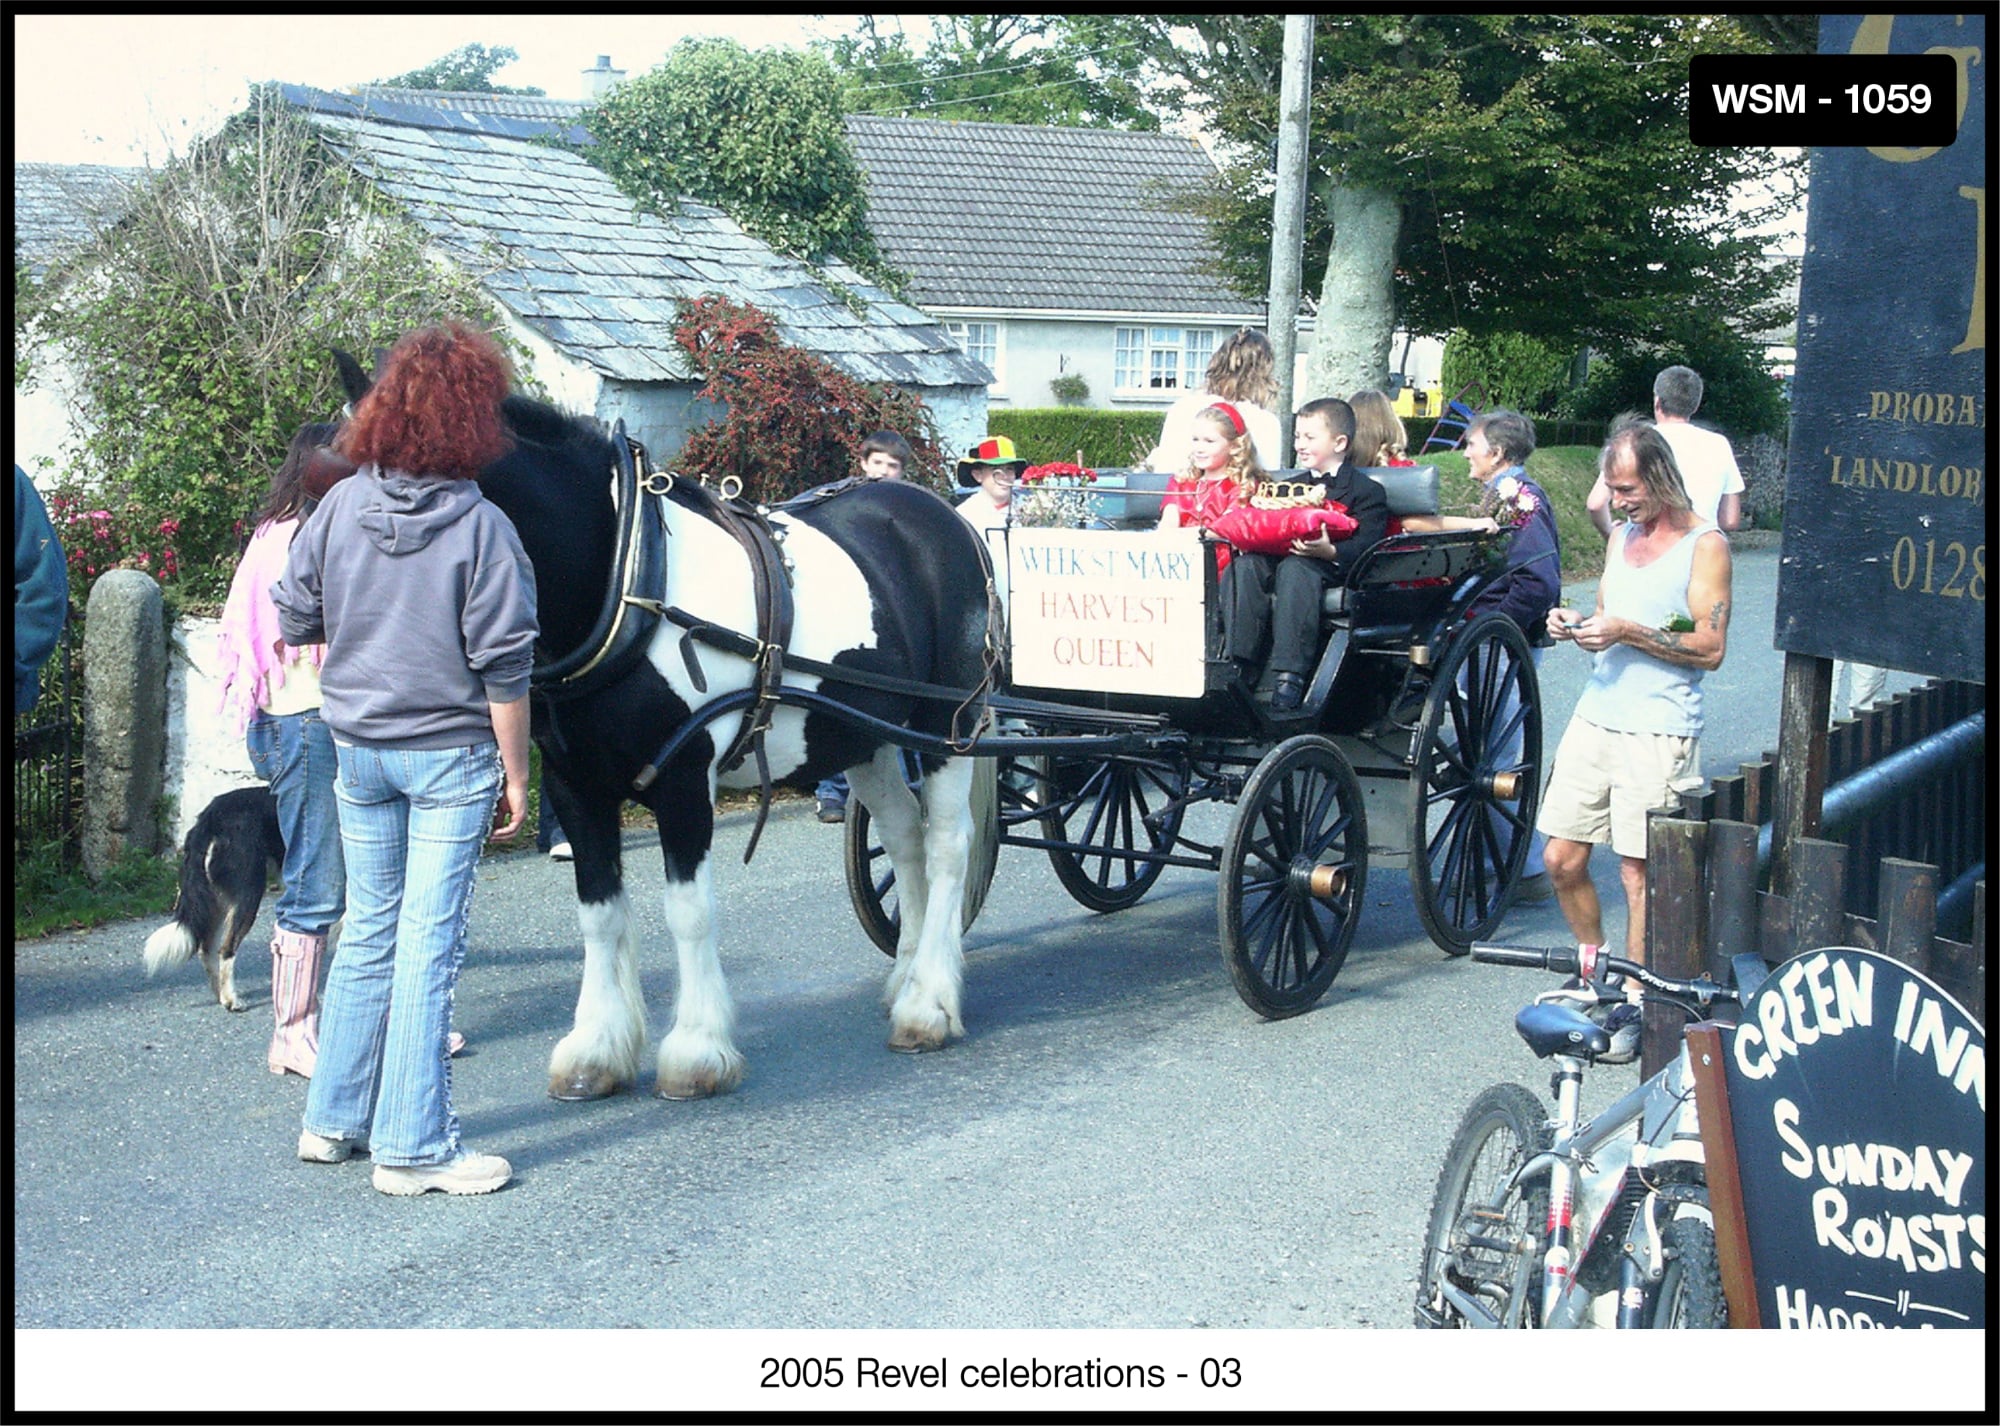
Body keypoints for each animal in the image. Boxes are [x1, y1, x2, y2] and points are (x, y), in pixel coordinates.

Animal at [338, 350, 1008, 1096]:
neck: (627, 579)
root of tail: (943, 516)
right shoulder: (576, 786)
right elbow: (599, 913)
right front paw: (596, 1049)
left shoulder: (685, 779)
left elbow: (688, 912)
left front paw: (696, 1049)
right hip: (867, 738)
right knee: (904, 840)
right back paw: (909, 979)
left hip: (947, 724)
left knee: (947, 846)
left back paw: (929, 1004)